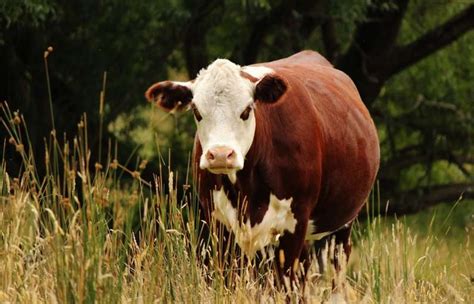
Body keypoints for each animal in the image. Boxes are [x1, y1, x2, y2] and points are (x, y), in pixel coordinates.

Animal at [146, 50, 380, 284]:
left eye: (247, 110)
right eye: (196, 111)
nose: (221, 155)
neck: (246, 188)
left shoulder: (295, 222)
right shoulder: (218, 223)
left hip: (342, 227)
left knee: (335, 271)